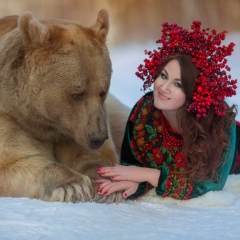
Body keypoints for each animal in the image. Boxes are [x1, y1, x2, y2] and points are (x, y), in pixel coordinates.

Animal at [0, 10, 124, 203]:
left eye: (102, 91)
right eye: (77, 93)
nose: (97, 137)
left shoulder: (77, 127)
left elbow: (92, 156)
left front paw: (107, 183)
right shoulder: (11, 116)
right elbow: (13, 159)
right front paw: (73, 185)